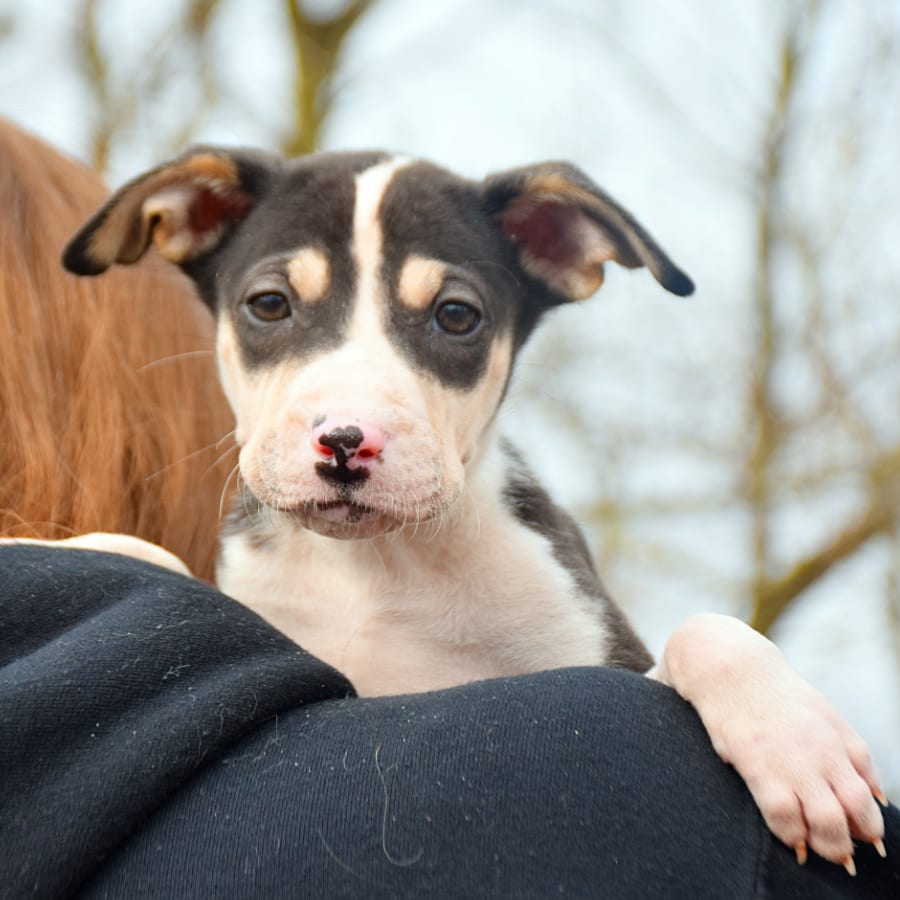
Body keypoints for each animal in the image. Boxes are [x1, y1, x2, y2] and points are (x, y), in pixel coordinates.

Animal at [59, 149, 888, 872]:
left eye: (456, 316)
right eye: (269, 304)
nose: (345, 441)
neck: (381, 571)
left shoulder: (601, 655)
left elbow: (708, 630)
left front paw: (801, 750)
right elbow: (149, 557)